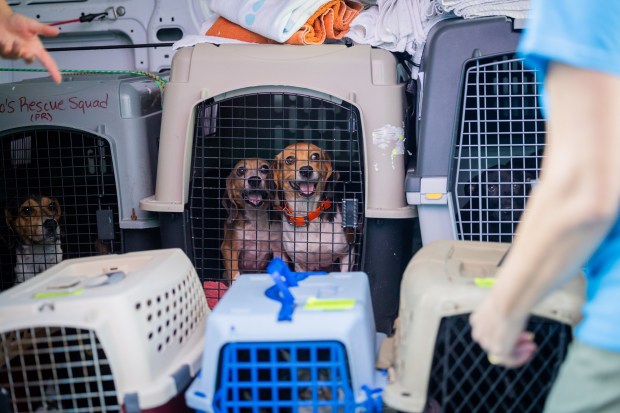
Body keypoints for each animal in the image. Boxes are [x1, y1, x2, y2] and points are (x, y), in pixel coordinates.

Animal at [274, 143, 354, 272]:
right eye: (289, 160)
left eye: (315, 156)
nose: (306, 170)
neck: (307, 212)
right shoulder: (299, 263)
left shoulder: (348, 254)